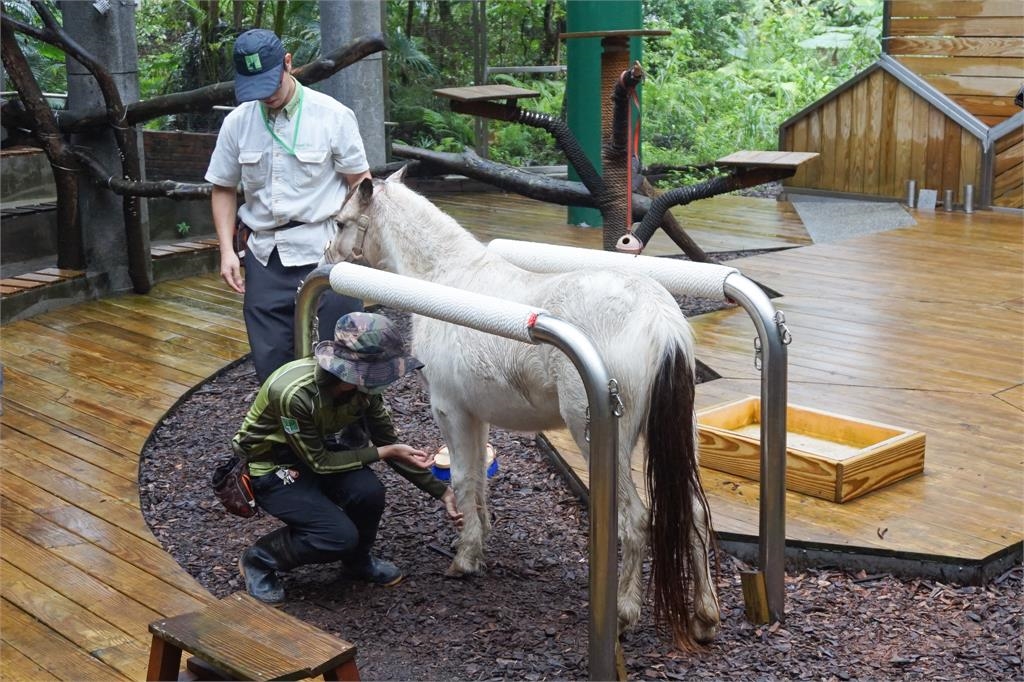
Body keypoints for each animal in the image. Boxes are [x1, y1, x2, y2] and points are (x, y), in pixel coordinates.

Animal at [326, 167, 720, 648]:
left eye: (341, 222)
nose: (327, 256)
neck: (450, 280)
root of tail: (661, 323)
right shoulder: (475, 415)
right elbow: (478, 479)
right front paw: (478, 543)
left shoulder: (449, 409)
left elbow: (462, 477)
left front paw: (464, 559)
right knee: (695, 514)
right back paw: (705, 617)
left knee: (636, 519)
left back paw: (625, 615)